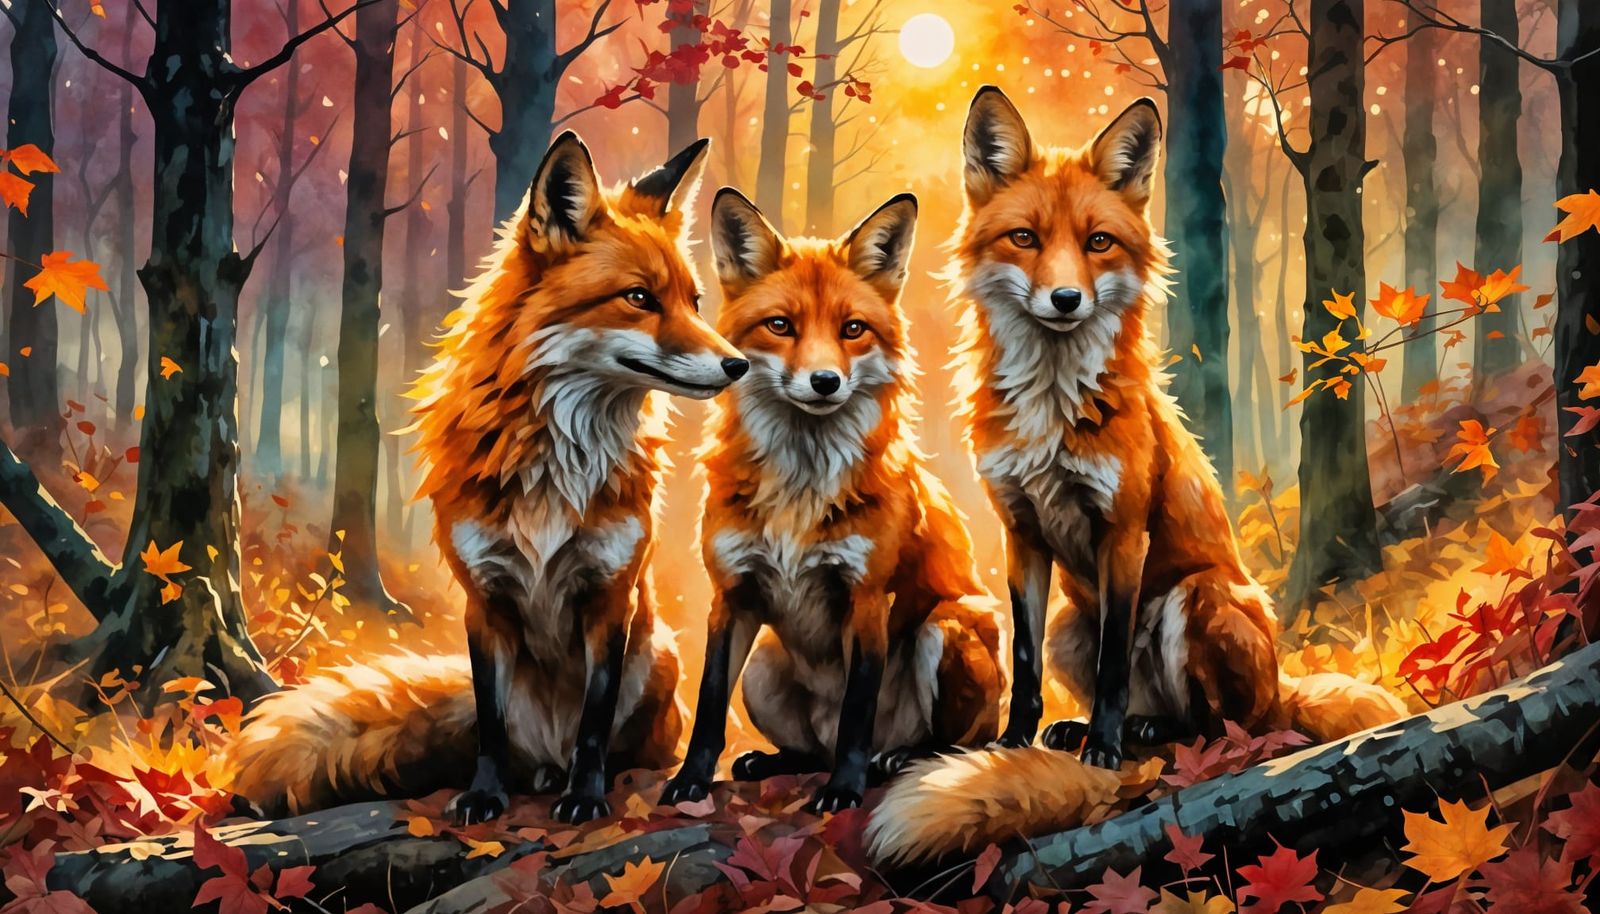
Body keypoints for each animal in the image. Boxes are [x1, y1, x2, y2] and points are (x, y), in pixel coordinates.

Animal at [229, 132, 750, 826]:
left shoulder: (609, 594)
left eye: (695, 302)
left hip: (658, 655)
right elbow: (492, 722)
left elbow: (593, 723)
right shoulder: (485, 595)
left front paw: (587, 796)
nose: (739, 364)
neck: (556, 460)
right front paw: (485, 794)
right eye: (640, 298)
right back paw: (536, 776)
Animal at [658, 189, 1005, 813]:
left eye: (852, 329)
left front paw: (845, 788)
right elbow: (709, 702)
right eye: (780, 326)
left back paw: (895, 759)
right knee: (811, 749)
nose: (825, 382)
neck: (799, 490)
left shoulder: (866, 598)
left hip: (947, 627)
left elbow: (856, 714)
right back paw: (774, 761)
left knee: (950, 746)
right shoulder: (732, 595)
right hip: (765, 663)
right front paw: (691, 781)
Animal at [863, 87, 1404, 864]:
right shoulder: (1021, 533)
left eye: (1099, 243)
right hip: (1071, 623)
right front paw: (1012, 746)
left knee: (1225, 727)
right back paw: (1079, 729)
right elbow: (1024, 666)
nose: (1065, 299)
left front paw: (1104, 750)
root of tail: (1281, 681)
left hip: (1197, 598)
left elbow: (1116, 666)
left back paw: (1146, 734)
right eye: (1024, 238)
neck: (1052, 408)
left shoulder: (1122, 532)